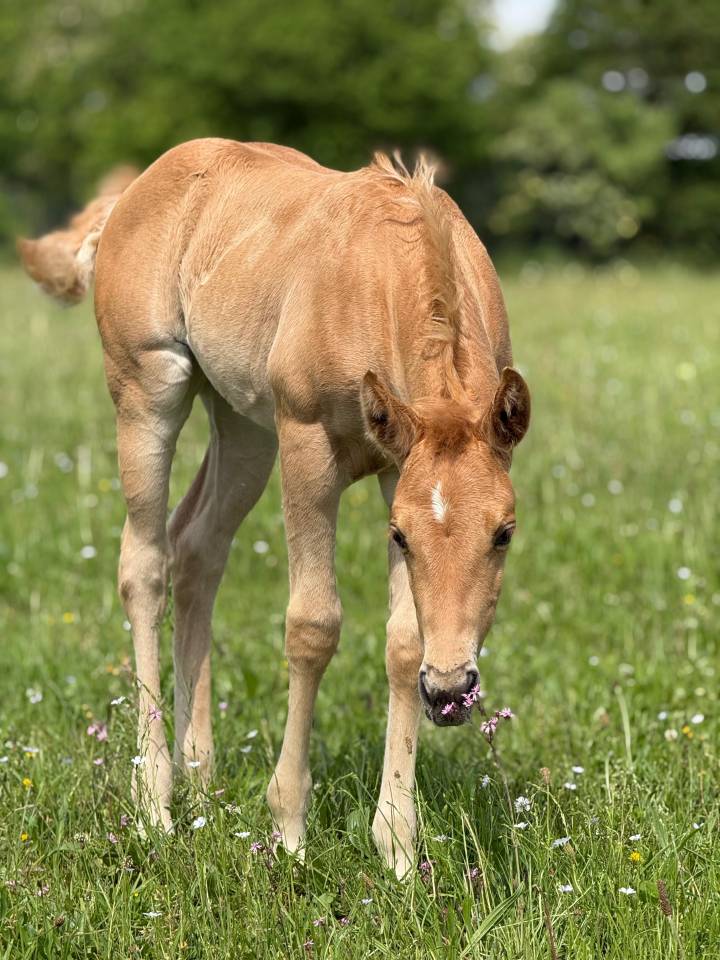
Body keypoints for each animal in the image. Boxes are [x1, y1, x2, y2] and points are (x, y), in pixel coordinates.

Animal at [18, 139, 530, 878]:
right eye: (403, 536)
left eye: (504, 533)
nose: (449, 689)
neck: (382, 275)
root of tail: (135, 189)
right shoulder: (307, 443)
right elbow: (313, 626)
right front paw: (288, 828)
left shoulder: (396, 467)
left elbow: (403, 639)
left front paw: (399, 848)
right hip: (150, 389)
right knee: (143, 564)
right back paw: (156, 804)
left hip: (242, 425)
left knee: (196, 549)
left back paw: (201, 777)